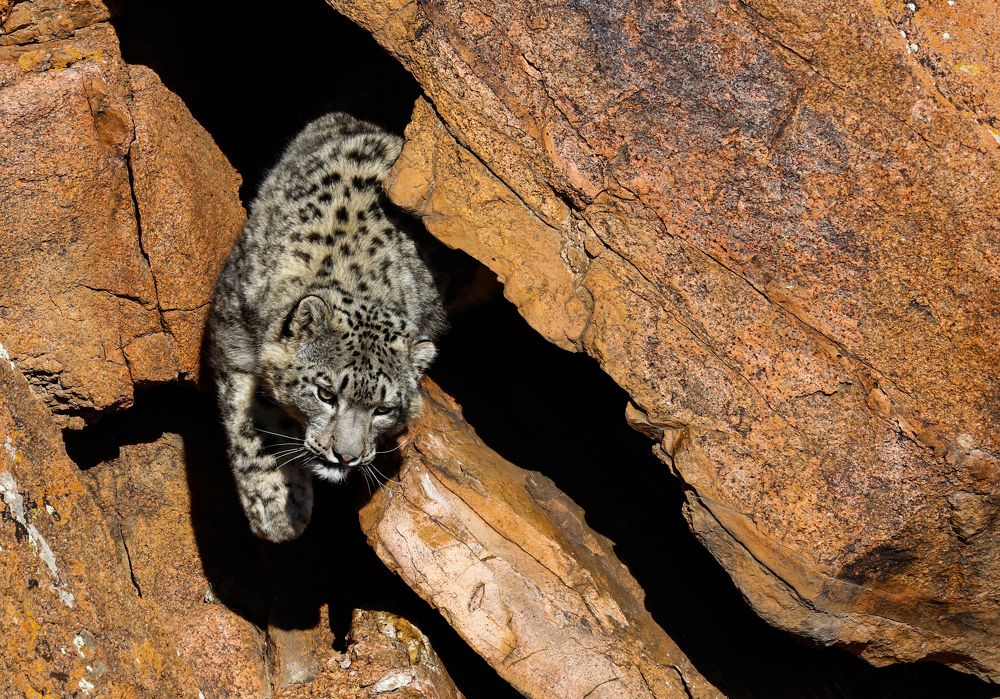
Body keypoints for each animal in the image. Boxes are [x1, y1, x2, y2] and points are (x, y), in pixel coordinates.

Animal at [207, 112, 446, 543]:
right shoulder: (234, 339)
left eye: (384, 409)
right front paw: (277, 509)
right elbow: (248, 423)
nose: (345, 456)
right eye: (325, 393)